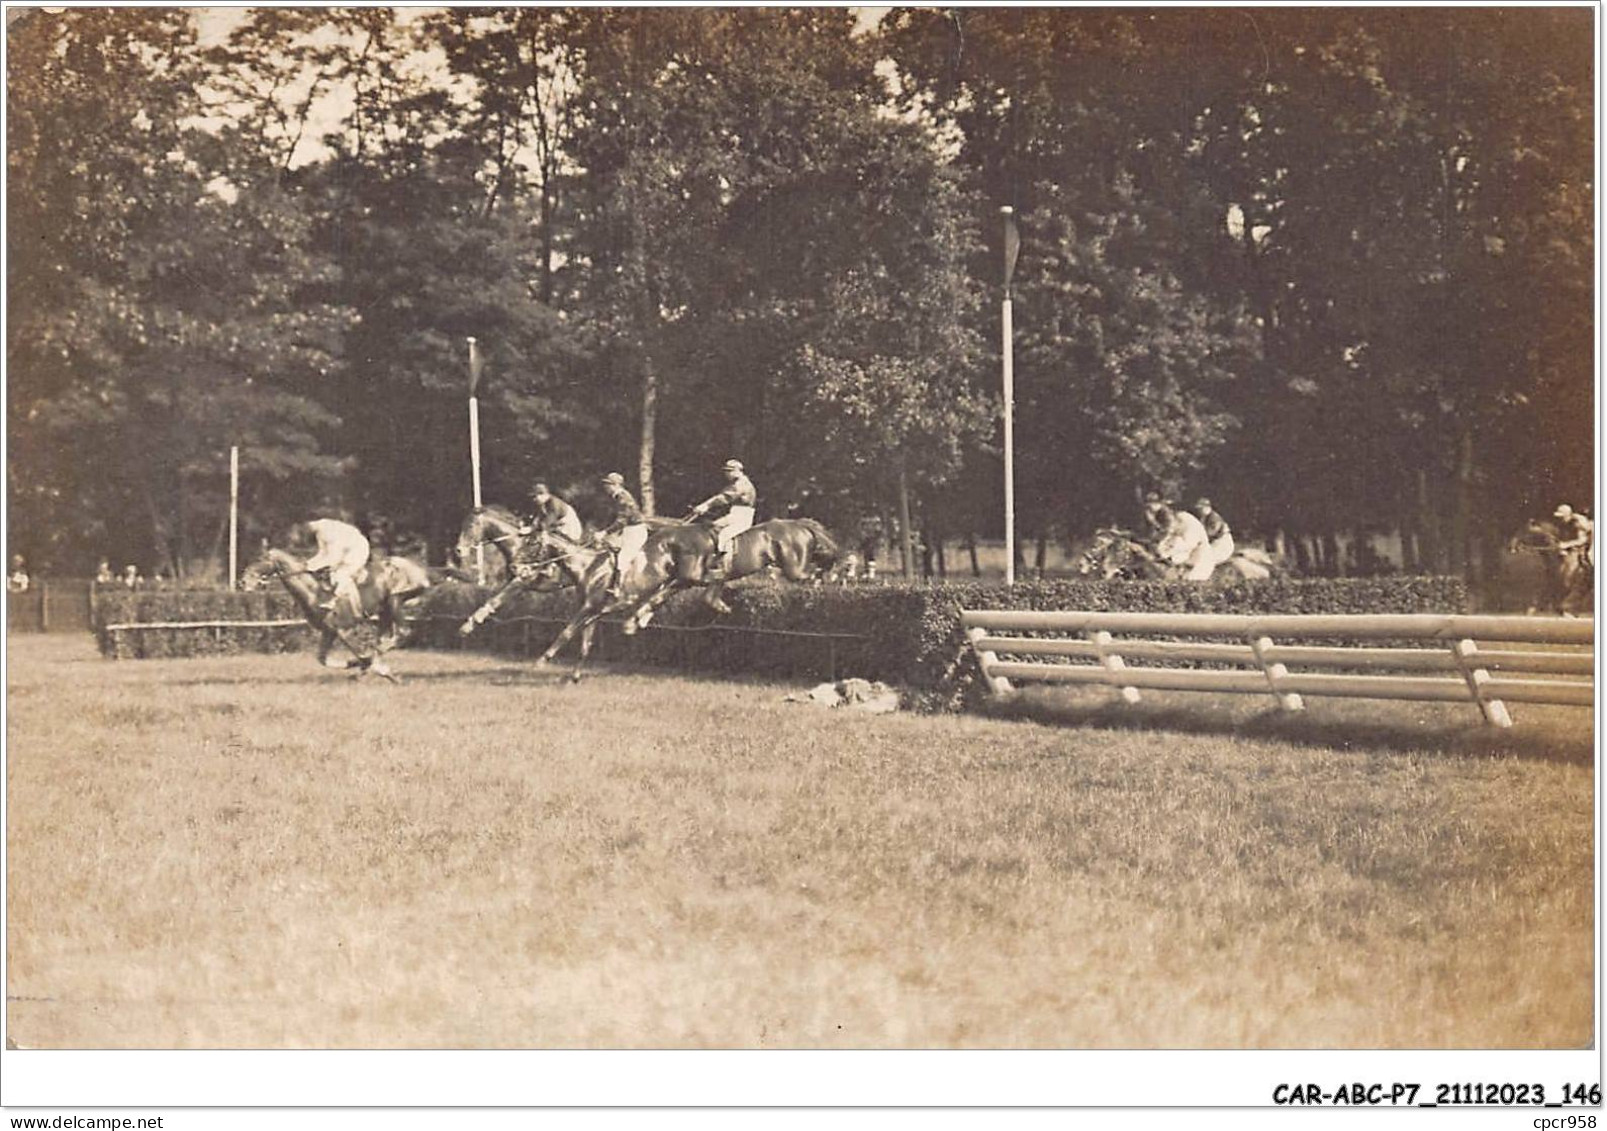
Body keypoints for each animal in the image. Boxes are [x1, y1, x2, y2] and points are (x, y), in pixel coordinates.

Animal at [239, 546, 433, 681]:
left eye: (259, 559)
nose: (243, 582)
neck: (315, 593)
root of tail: (421, 571)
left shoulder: (344, 630)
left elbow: (360, 653)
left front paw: (372, 667)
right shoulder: (328, 632)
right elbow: (322, 659)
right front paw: (365, 667)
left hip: (395, 600)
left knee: (401, 633)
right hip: (385, 610)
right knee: (384, 639)